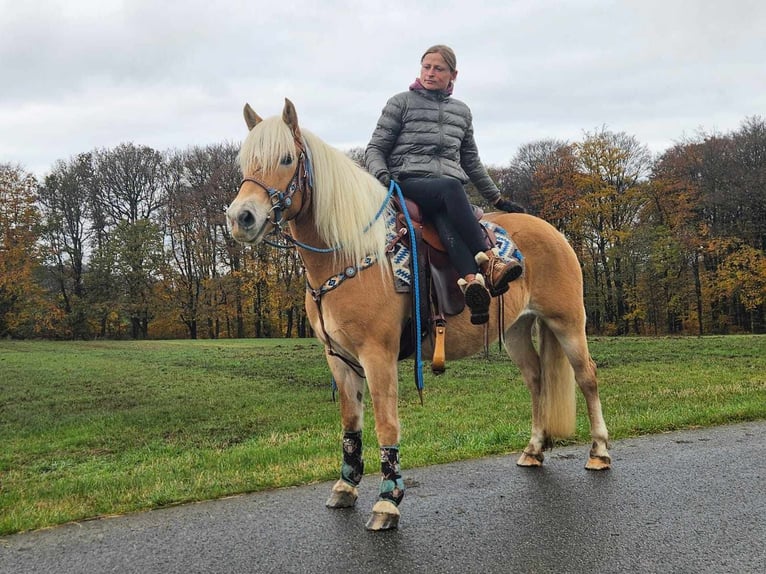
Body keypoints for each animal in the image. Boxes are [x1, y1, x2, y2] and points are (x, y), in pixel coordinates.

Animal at [226, 98, 612, 532]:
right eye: (246, 161)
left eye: (287, 158)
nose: (241, 217)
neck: (351, 253)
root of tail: (552, 230)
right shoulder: (339, 359)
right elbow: (350, 424)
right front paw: (346, 486)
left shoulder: (377, 356)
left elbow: (386, 424)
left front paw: (387, 500)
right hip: (516, 330)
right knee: (536, 379)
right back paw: (534, 448)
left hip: (567, 322)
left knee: (587, 377)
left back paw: (599, 451)